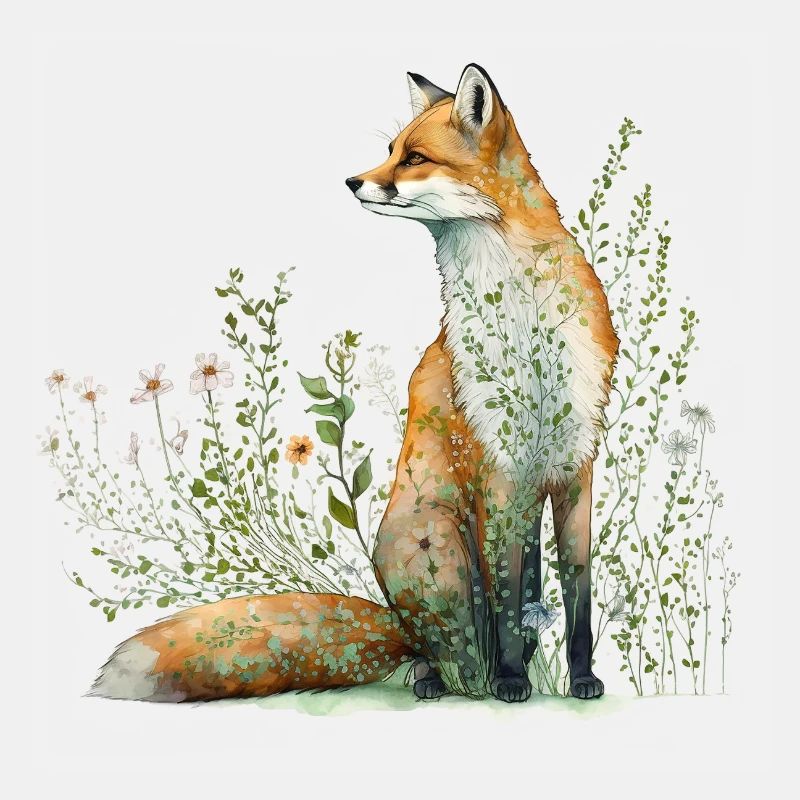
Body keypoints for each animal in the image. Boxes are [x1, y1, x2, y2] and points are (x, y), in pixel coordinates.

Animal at [92, 64, 617, 704]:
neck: (523, 322)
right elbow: (505, 601)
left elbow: (577, 600)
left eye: (413, 157)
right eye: (389, 151)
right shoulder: (496, 470)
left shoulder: (574, 465)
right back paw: (448, 680)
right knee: (436, 648)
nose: (351, 181)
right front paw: (514, 681)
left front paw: (583, 678)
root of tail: (393, 614)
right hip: (441, 548)